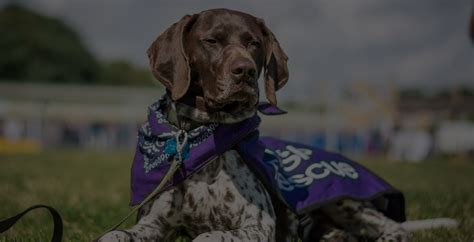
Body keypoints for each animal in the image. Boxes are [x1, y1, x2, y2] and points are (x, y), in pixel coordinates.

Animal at [99, 8, 456, 242]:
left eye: (253, 43)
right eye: (211, 41)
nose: (243, 71)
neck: (196, 138)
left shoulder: (257, 226)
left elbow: (208, 237)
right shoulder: (152, 226)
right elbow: (113, 235)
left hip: (344, 200)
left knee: (394, 228)